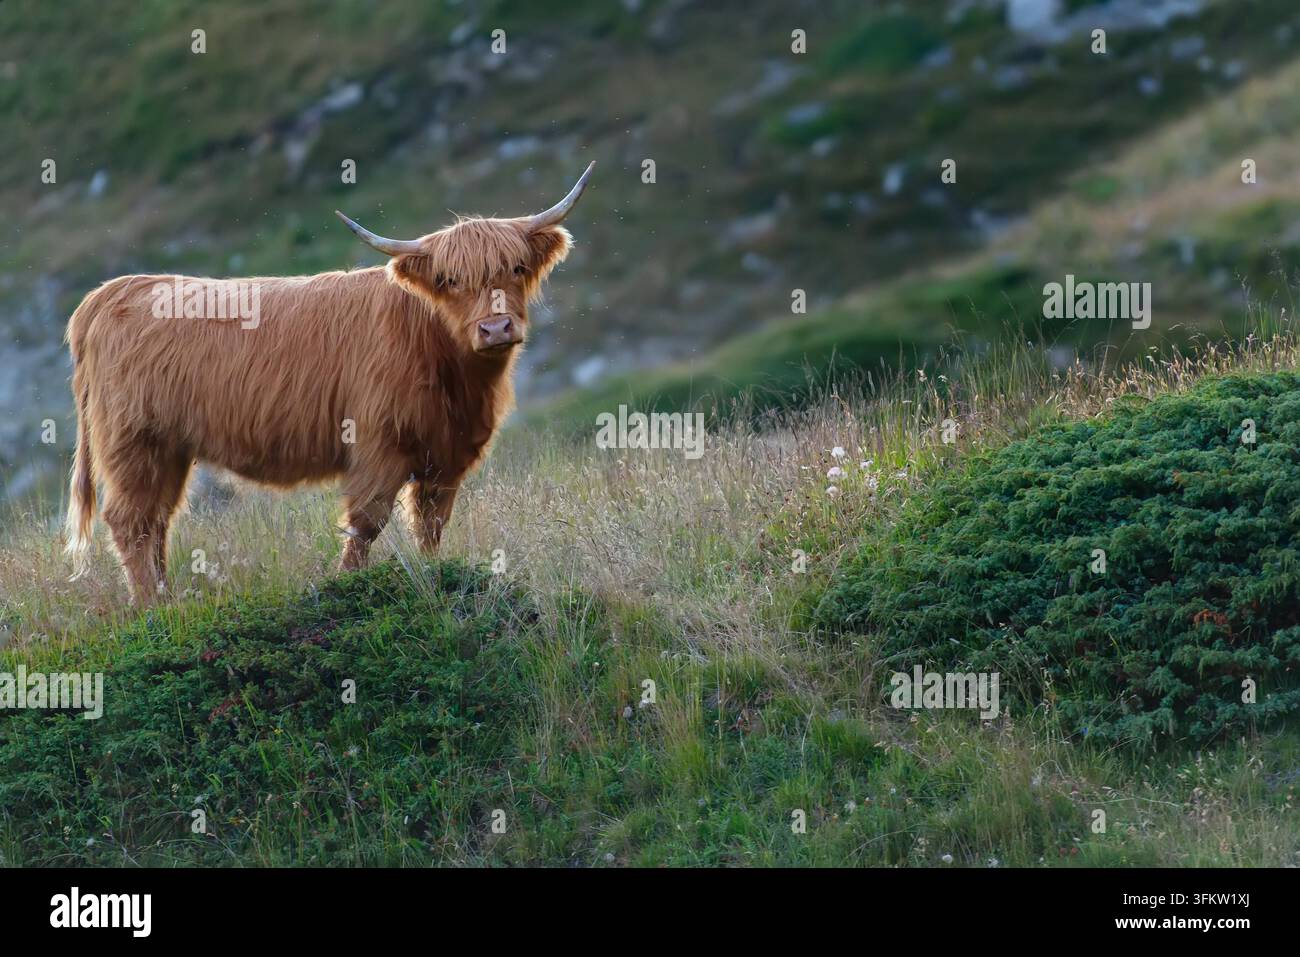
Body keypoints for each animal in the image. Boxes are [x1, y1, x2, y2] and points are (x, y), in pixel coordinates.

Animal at [63, 162, 594, 603]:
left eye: (516, 268)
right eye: (449, 280)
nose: (496, 328)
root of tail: (112, 292)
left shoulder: (446, 454)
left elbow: (430, 524)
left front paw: (435, 573)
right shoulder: (378, 444)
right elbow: (366, 522)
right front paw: (347, 584)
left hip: (169, 450)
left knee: (158, 520)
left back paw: (167, 598)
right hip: (133, 441)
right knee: (131, 521)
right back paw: (152, 608)